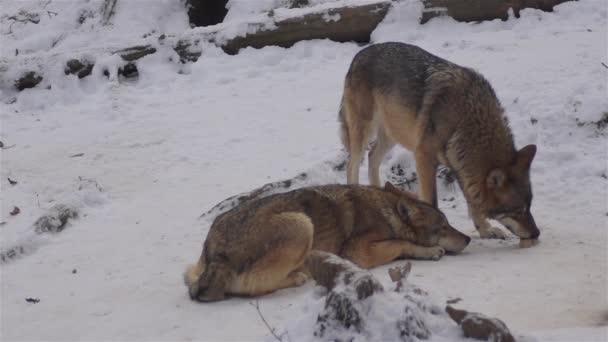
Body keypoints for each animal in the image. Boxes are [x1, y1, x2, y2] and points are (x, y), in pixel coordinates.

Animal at [183, 183, 468, 300]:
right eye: (443, 226)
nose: (467, 238)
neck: (384, 210)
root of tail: (217, 254)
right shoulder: (358, 252)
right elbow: (401, 244)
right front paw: (430, 250)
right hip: (302, 224)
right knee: (250, 286)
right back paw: (298, 277)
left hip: (193, 266)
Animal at [340, 42, 540, 240]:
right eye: (518, 210)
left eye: (530, 205)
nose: (536, 233)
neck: (465, 121)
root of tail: (361, 53)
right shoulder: (424, 157)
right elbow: (433, 201)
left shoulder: (460, 164)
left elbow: (472, 201)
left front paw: (485, 230)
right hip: (364, 132)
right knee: (352, 164)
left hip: (393, 135)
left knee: (372, 157)